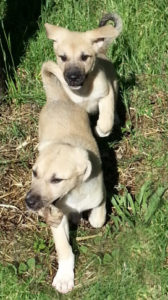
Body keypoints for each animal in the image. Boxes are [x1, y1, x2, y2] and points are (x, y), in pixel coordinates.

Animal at [25, 62, 105, 292]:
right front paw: (64, 277)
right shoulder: (56, 217)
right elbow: (64, 249)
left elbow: (97, 220)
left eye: (57, 180)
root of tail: (57, 98)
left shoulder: (99, 197)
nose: (29, 201)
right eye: (34, 173)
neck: (73, 194)